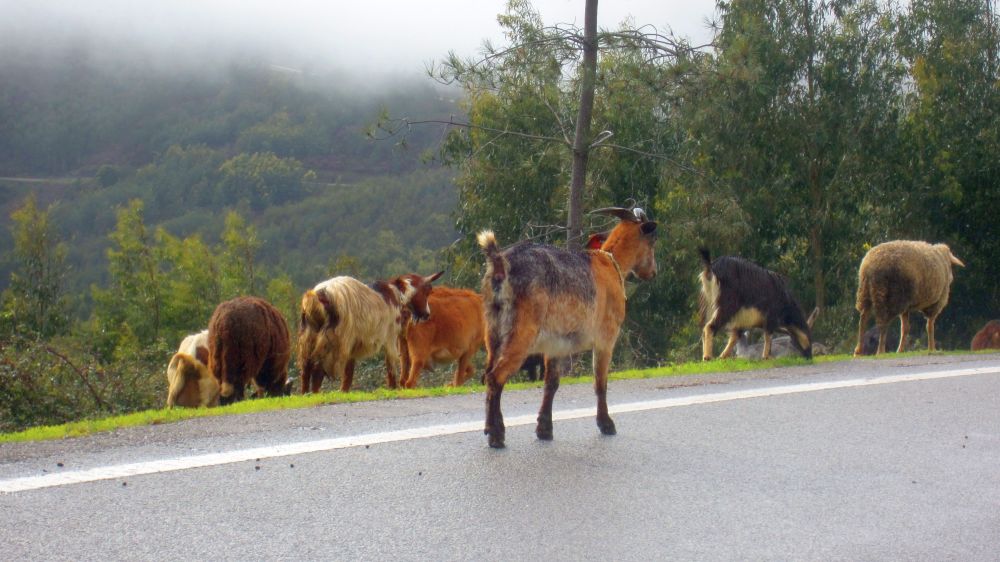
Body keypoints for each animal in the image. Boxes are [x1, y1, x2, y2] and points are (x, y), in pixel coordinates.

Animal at [297, 272, 443, 393]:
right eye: (427, 290)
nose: (427, 314)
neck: (395, 293)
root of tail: (315, 296)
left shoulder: (354, 342)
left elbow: (348, 372)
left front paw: (344, 391)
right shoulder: (390, 336)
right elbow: (390, 364)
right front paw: (393, 388)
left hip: (309, 337)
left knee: (306, 368)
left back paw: (305, 393)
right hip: (333, 339)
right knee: (318, 367)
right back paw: (315, 394)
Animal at [477, 206, 658, 449]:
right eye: (652, 241)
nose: (653, 272)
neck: (610, 264)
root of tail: (499, 263)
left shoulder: (557, 343)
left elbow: (551, 383)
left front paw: (544, 429)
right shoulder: (606, 337)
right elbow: (600, 382)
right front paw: (606, 424)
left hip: (493, 330)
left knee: (488, 373)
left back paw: (490, 428)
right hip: (521, 332)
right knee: (496, 377)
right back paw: (497, 436)